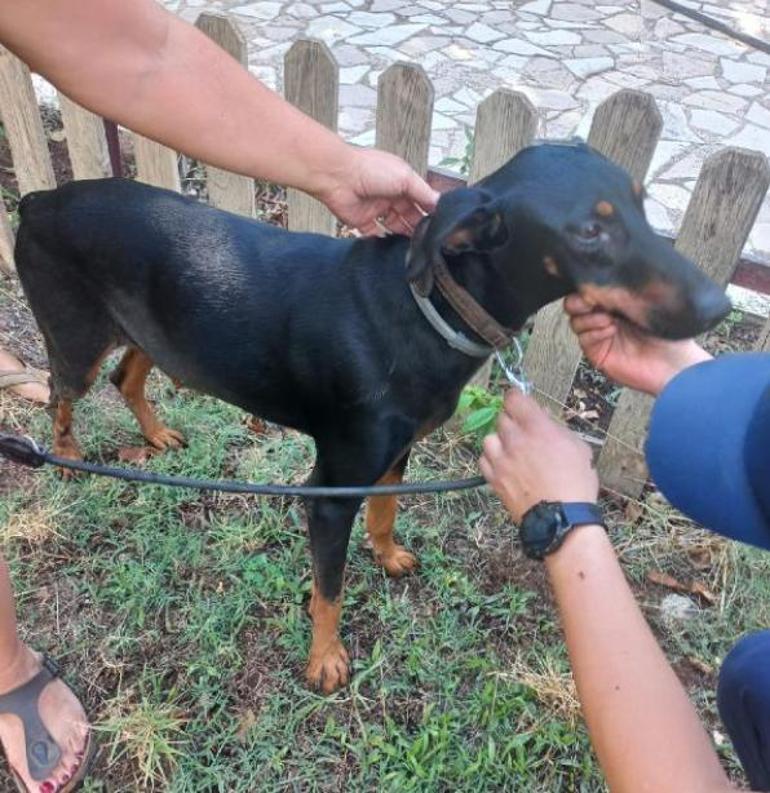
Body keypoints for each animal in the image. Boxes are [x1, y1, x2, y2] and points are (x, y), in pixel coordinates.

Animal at [16, 142, 728, 692]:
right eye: (589, 231)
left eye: (642, 204)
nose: (718, 307)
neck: (425, 310)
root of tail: (38, 201)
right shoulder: (330, 490)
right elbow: (328, 589)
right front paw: (325, 660)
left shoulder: (397, 452)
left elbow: (385, 511)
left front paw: (388, 557)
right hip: (76, 336)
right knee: (61, 395)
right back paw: (69, 458)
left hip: (148, 328)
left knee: (126, 377)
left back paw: (156, 431)